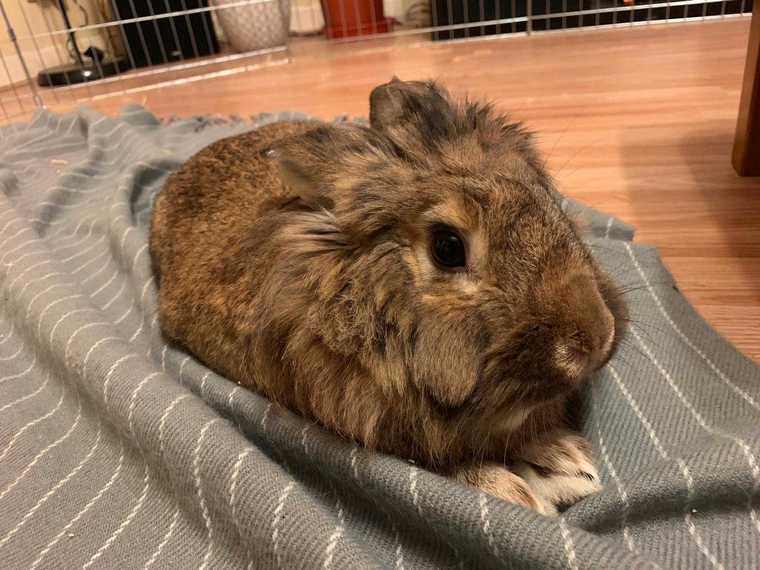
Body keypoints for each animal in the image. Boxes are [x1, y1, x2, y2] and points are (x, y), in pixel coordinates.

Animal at [149, 78, 627, 515]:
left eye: (547, 201)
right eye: (448, 248)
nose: (595, 338)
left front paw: (563, 459)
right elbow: (440, 464)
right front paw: (526, 489)